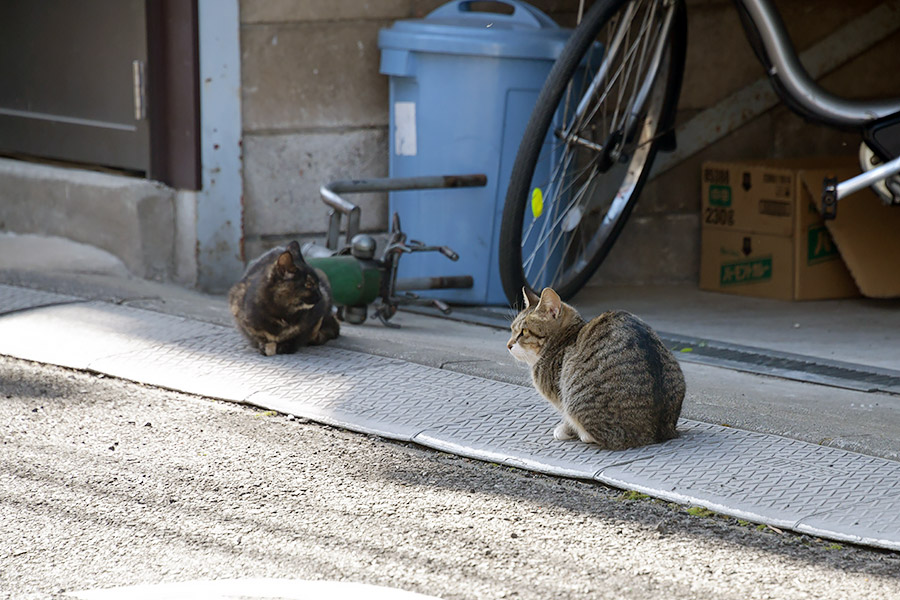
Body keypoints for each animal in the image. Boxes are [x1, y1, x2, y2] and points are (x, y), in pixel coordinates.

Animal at [506, 288, 684, 450]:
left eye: (524, 331)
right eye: (512, 329)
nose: (508, 345)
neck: (565, 338)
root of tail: (656, 433)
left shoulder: (562, 396)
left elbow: (566, 416)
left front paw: (565, 430)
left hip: (576, 397)